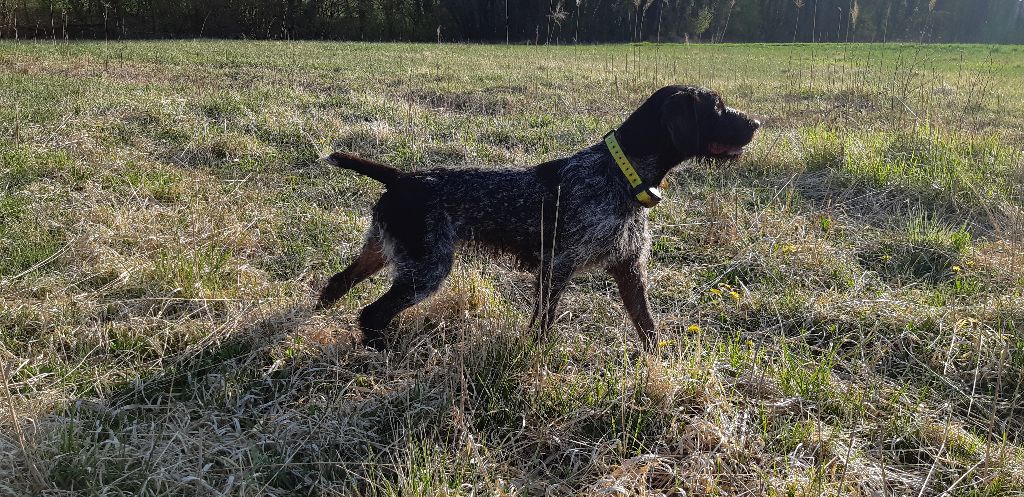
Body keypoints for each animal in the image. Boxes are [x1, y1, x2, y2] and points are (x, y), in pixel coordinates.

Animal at [317, 84, 761, 348]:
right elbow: (544, 323)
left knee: (336, 284)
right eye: (717, 107)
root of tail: (402, 177)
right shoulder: (558, 266)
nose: (757, 122)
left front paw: (661, 364)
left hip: (383, 250)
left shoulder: (629, 267)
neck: (622, 173)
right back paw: (382, 351)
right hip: (427, 269)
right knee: (372, 314)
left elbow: (647, 325)